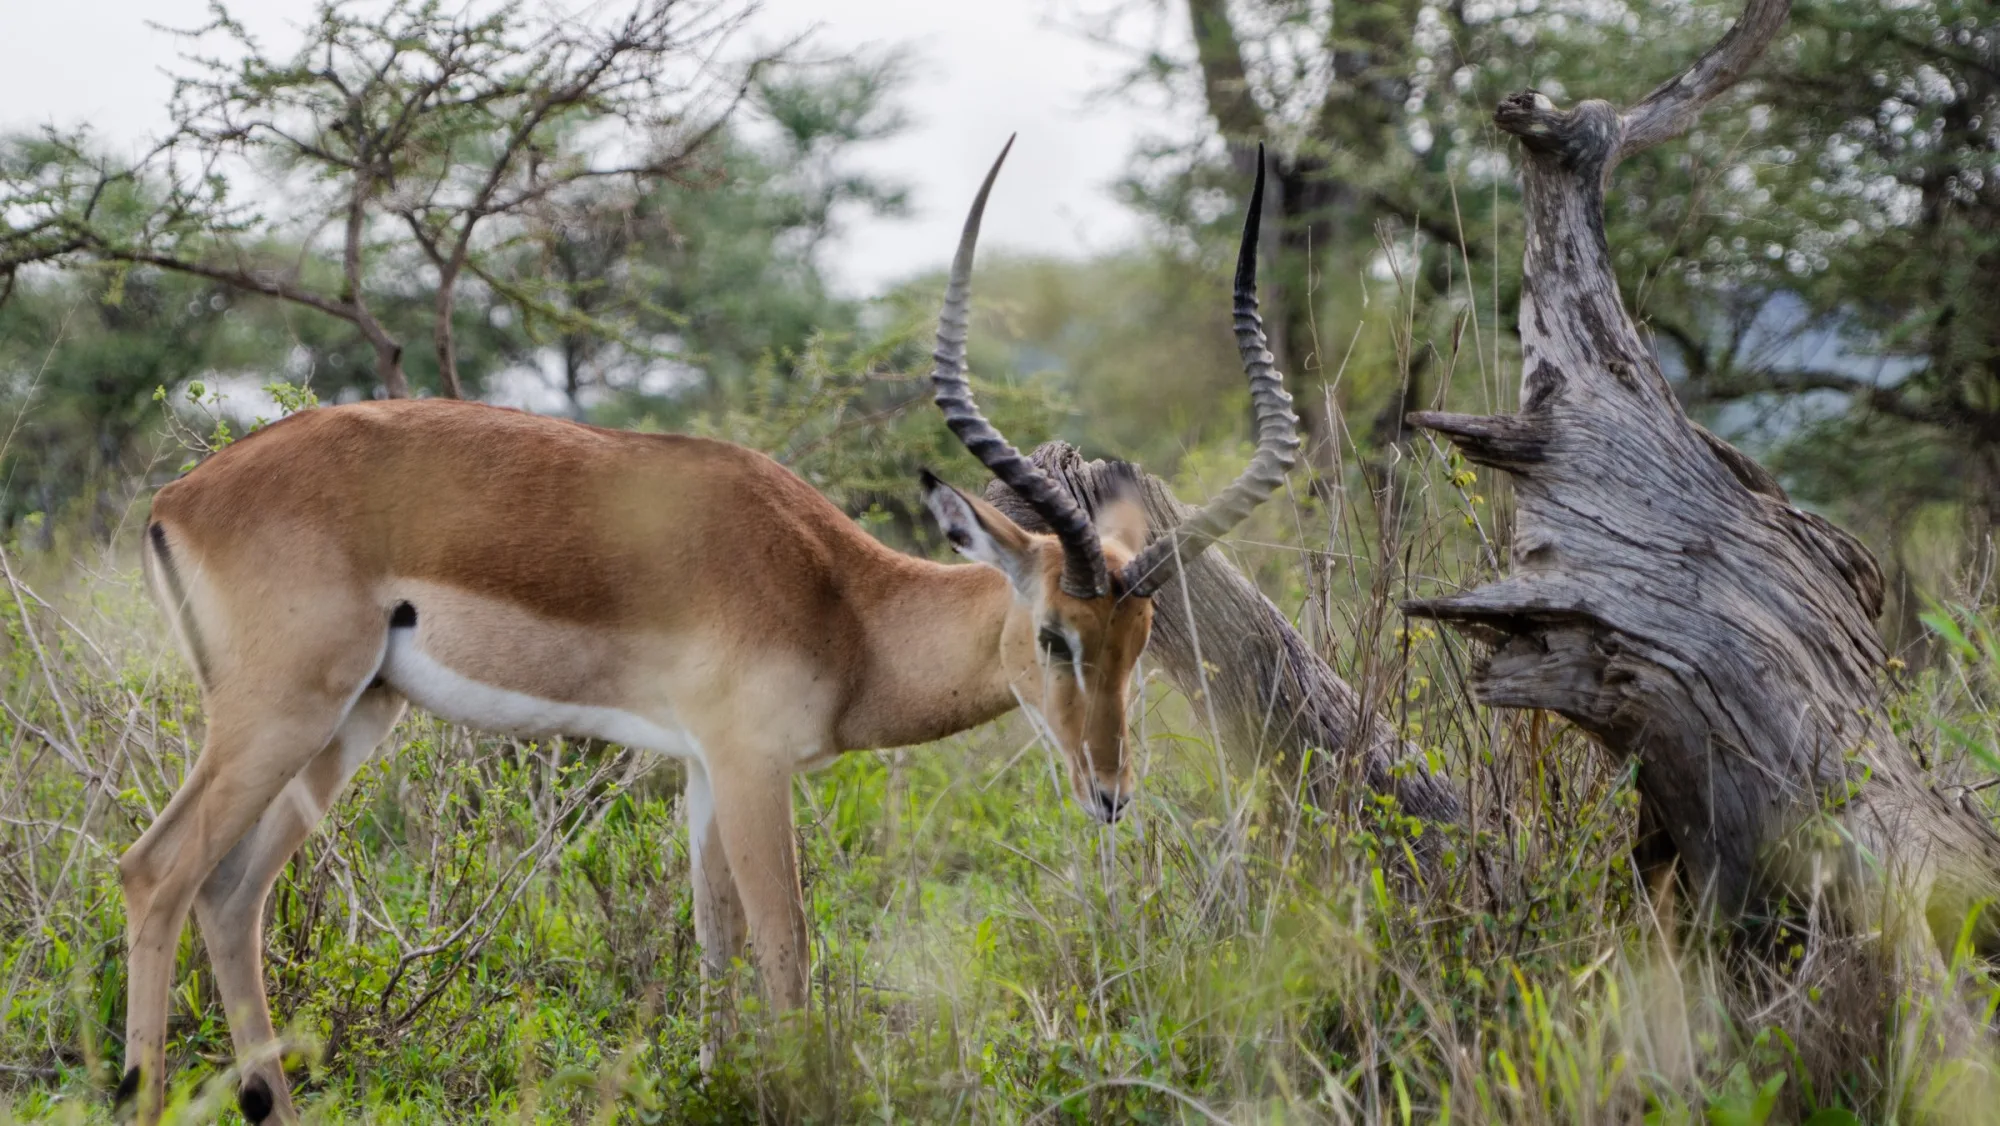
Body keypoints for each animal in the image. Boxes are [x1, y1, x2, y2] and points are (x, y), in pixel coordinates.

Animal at [116, 141, 1296, 1123]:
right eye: (1055, 632)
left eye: (1141, 645)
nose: (1109, 794)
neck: (844, 603)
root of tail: (179, 495)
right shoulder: (750, 763)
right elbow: (787, 952)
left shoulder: (696, 770)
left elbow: (715, 951)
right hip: (283, 710)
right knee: (155, 871)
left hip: (353, 717)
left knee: (232, 890)